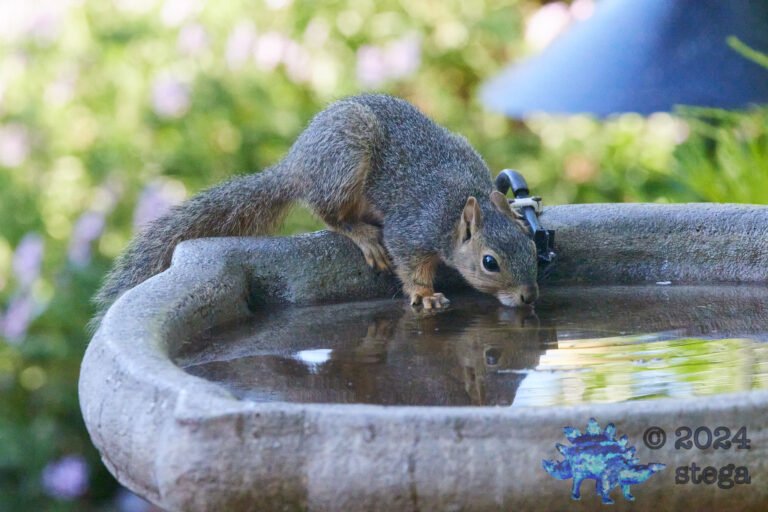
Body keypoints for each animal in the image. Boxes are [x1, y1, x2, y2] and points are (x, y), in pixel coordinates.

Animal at [93, 94, 539, 324]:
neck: (461, 202)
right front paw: (425, 295)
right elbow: (410, 264)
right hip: (344, 161)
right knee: (330, 213)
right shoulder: (413, 228)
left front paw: (518, 211)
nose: (528, 296)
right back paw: (361, 234)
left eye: (533, 247)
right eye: (490, 263)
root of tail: (296, 165)